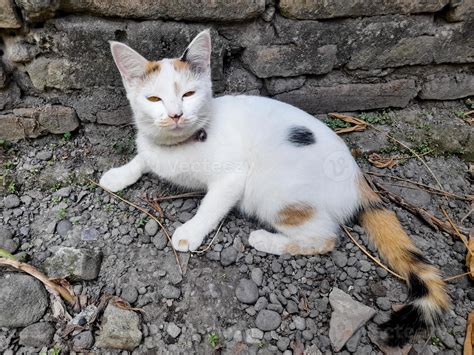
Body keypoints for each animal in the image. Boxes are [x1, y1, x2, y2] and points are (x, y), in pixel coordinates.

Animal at [99, 30, 448, 348]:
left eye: (188, 94)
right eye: (154, 99)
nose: (175, 115)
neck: (177, 146)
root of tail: (358, 177)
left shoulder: (233, 177)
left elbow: (211, 205)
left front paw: (190, 231)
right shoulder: (153, 148)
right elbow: (143, 157)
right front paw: (118, 175)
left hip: (275, 192)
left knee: (324, 238)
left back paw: (266, 239)